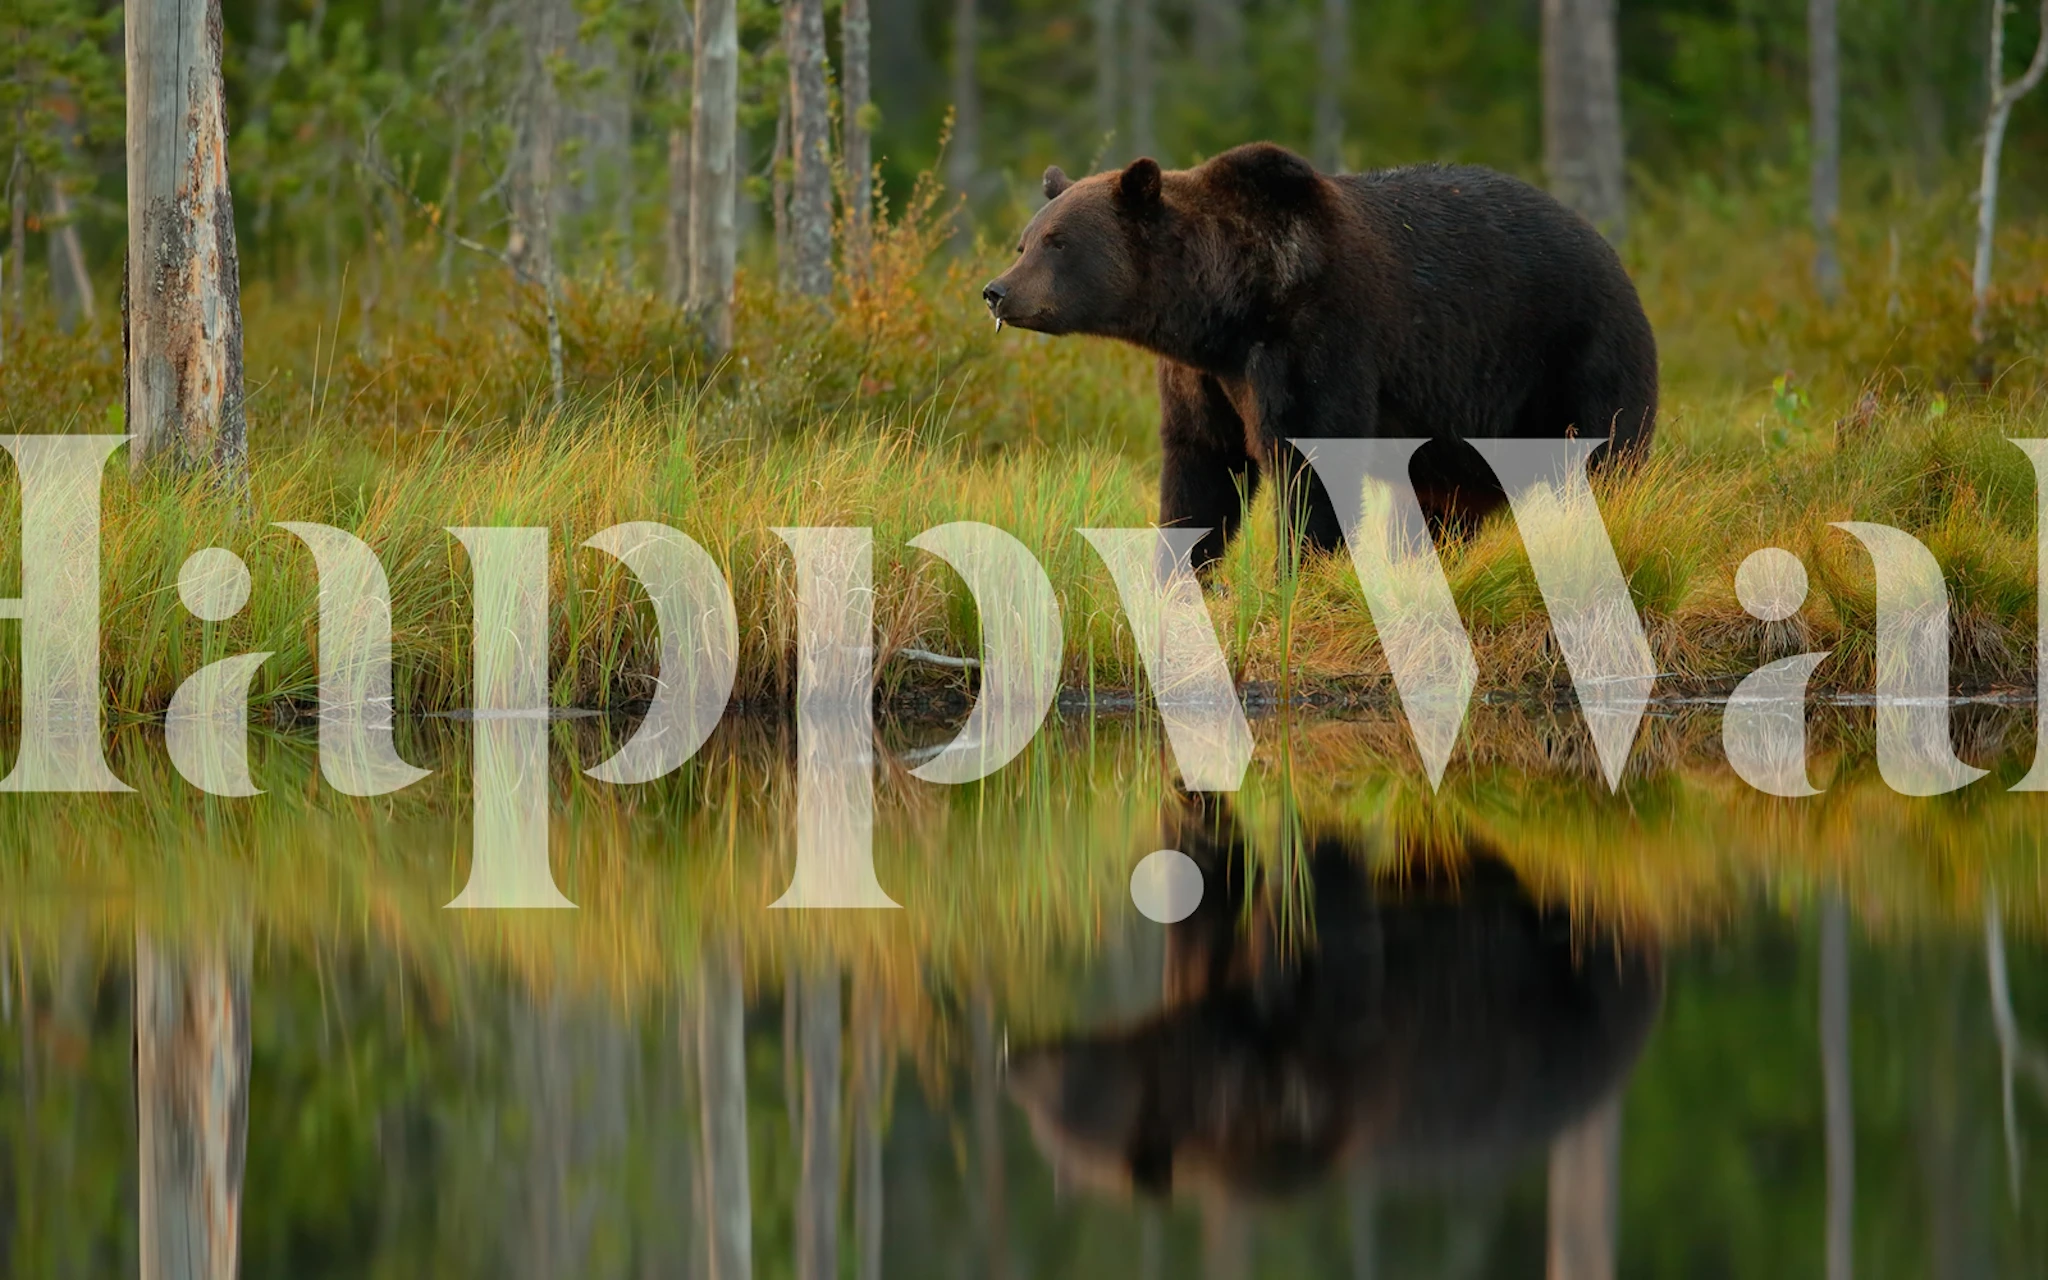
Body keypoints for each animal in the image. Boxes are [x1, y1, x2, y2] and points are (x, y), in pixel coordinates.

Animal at [981, 142, 1659, 569]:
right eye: (1025, 241)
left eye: (1057, 241)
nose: (997, 290)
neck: (1228, 307)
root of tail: (1616, 258)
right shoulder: (1204, 378)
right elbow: (1201, 471)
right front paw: (1177, 574)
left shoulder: (1318, 340)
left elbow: (1314, 465)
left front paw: (1298, 574)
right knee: (1441, 505)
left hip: (1576, 357)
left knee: (1603, 459)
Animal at [1005, 794, 1663, 1200]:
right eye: (1039, 1124)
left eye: (1048, 1108)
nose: (1012, 1062)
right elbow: (1213, 882)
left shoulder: (1320, 1067)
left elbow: (1328, 926)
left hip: (1576, 978)